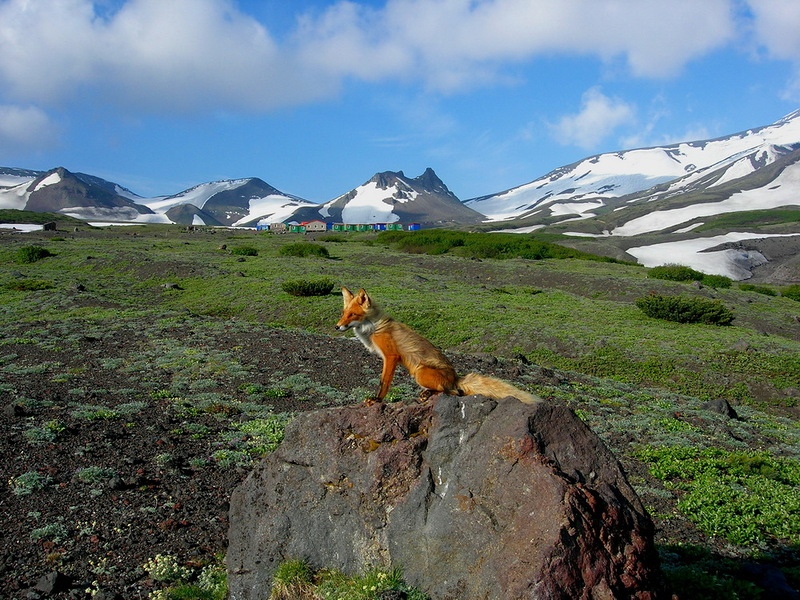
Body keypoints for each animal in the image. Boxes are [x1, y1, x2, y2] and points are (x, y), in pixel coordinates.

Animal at [334, 288, 540, 406]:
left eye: (352, 315)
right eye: (343, 313)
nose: (337, 327)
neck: (373, 328)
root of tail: (455, 377)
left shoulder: (391, 357)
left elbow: (383, 383)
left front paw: (376, 399)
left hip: (420, 372)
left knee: (453, 392)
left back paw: (428, 394)